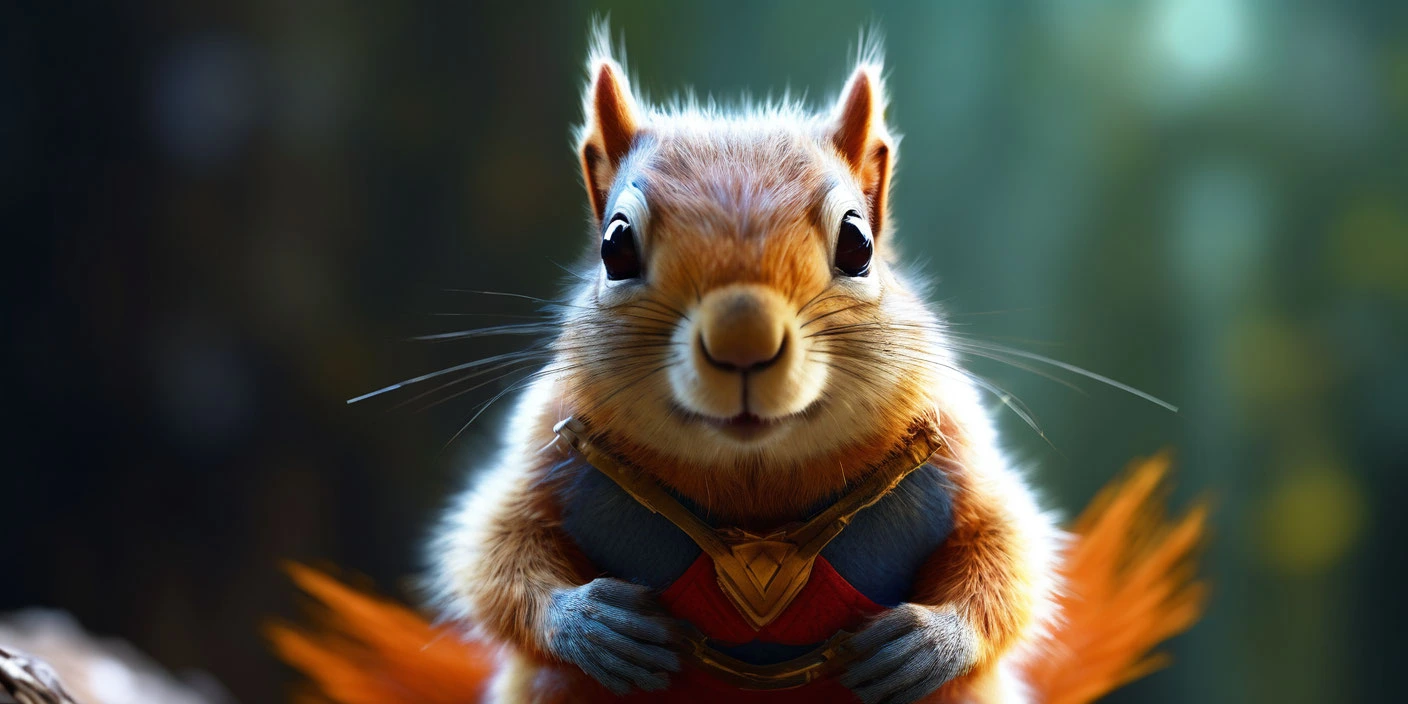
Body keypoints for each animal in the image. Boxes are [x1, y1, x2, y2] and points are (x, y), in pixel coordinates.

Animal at [410, 30, 1205, 704]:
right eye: (615, 246)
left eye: (858, 242)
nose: (743, 340)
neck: (756, 488)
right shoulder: (546, 443)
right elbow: (492, 548)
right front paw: (590, 624)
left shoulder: (958, 445)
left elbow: (1010, 553)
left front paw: (929, 643)